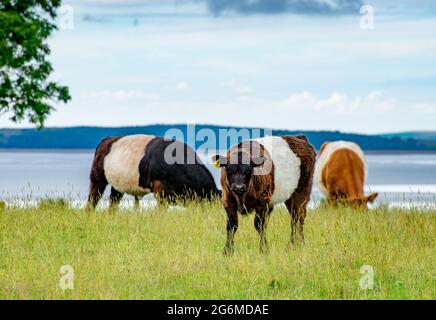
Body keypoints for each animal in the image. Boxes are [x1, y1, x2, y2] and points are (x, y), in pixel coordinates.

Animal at [88, 134, 220, 209]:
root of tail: (108, 139)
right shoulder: (160, 191)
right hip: (97, 178)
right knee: (92, 200)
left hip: (117, 185)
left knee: (113, 202)